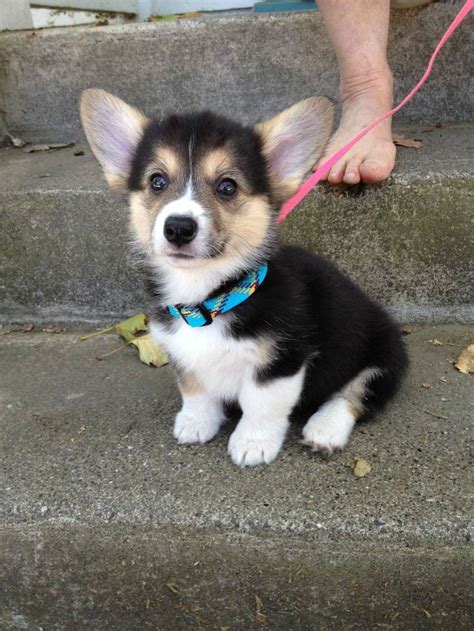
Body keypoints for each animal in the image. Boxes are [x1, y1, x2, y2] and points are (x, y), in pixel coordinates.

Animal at [81, 89, 408, 466]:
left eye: (227, 186)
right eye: (157, 181)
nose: (178, 227)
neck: (209, 297)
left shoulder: (281, 361)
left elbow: (261, 405)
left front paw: (253, 443)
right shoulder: (184, 355)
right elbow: (194, 390)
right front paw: (196, 423)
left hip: (382, 353)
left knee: (353, 395)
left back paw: (324, 429)